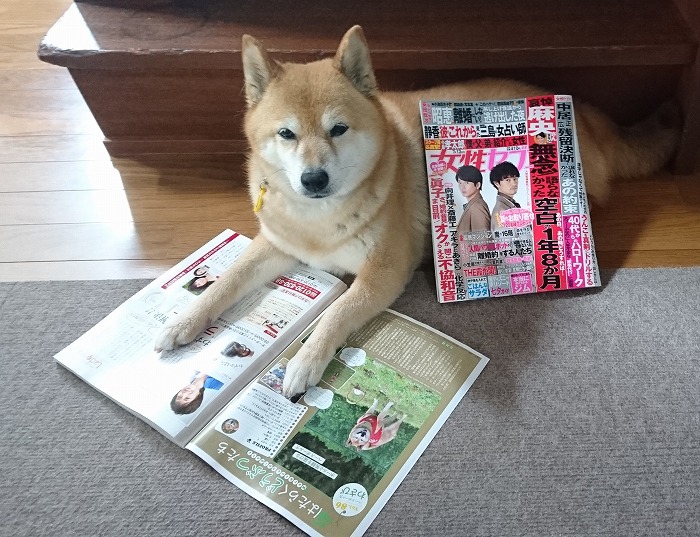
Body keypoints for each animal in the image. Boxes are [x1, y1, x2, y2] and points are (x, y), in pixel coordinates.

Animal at [155, 25, 679, 396]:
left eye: (338, 129)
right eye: (286, 134)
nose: (313, 180)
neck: (319, 225)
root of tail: (587, 117)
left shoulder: (384, 271)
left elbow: (337, 312)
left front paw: (305, 359)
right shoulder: (278, 244)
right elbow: (227, 280)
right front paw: (183, 320)